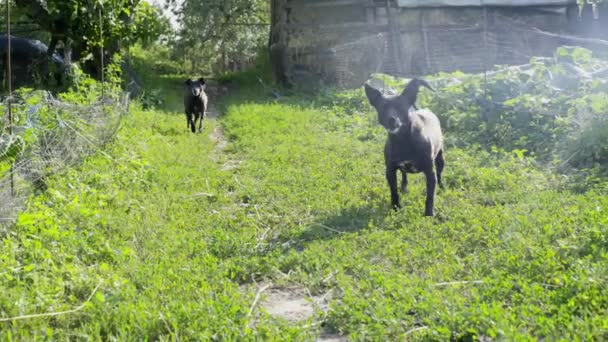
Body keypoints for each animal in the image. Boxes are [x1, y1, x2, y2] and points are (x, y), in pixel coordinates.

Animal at [364, 79, 444, 215]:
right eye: (383, 107)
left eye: (400, 106)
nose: (391, 119)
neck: (403, 140)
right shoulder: (390, 171)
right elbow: (394, 191)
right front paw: (395, 208)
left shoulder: (430, 172)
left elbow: (430, 196)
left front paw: (429, 214)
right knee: (404, 175)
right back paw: (404, 187)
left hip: (440, 159)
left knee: (439, 174)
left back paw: (442, 187)